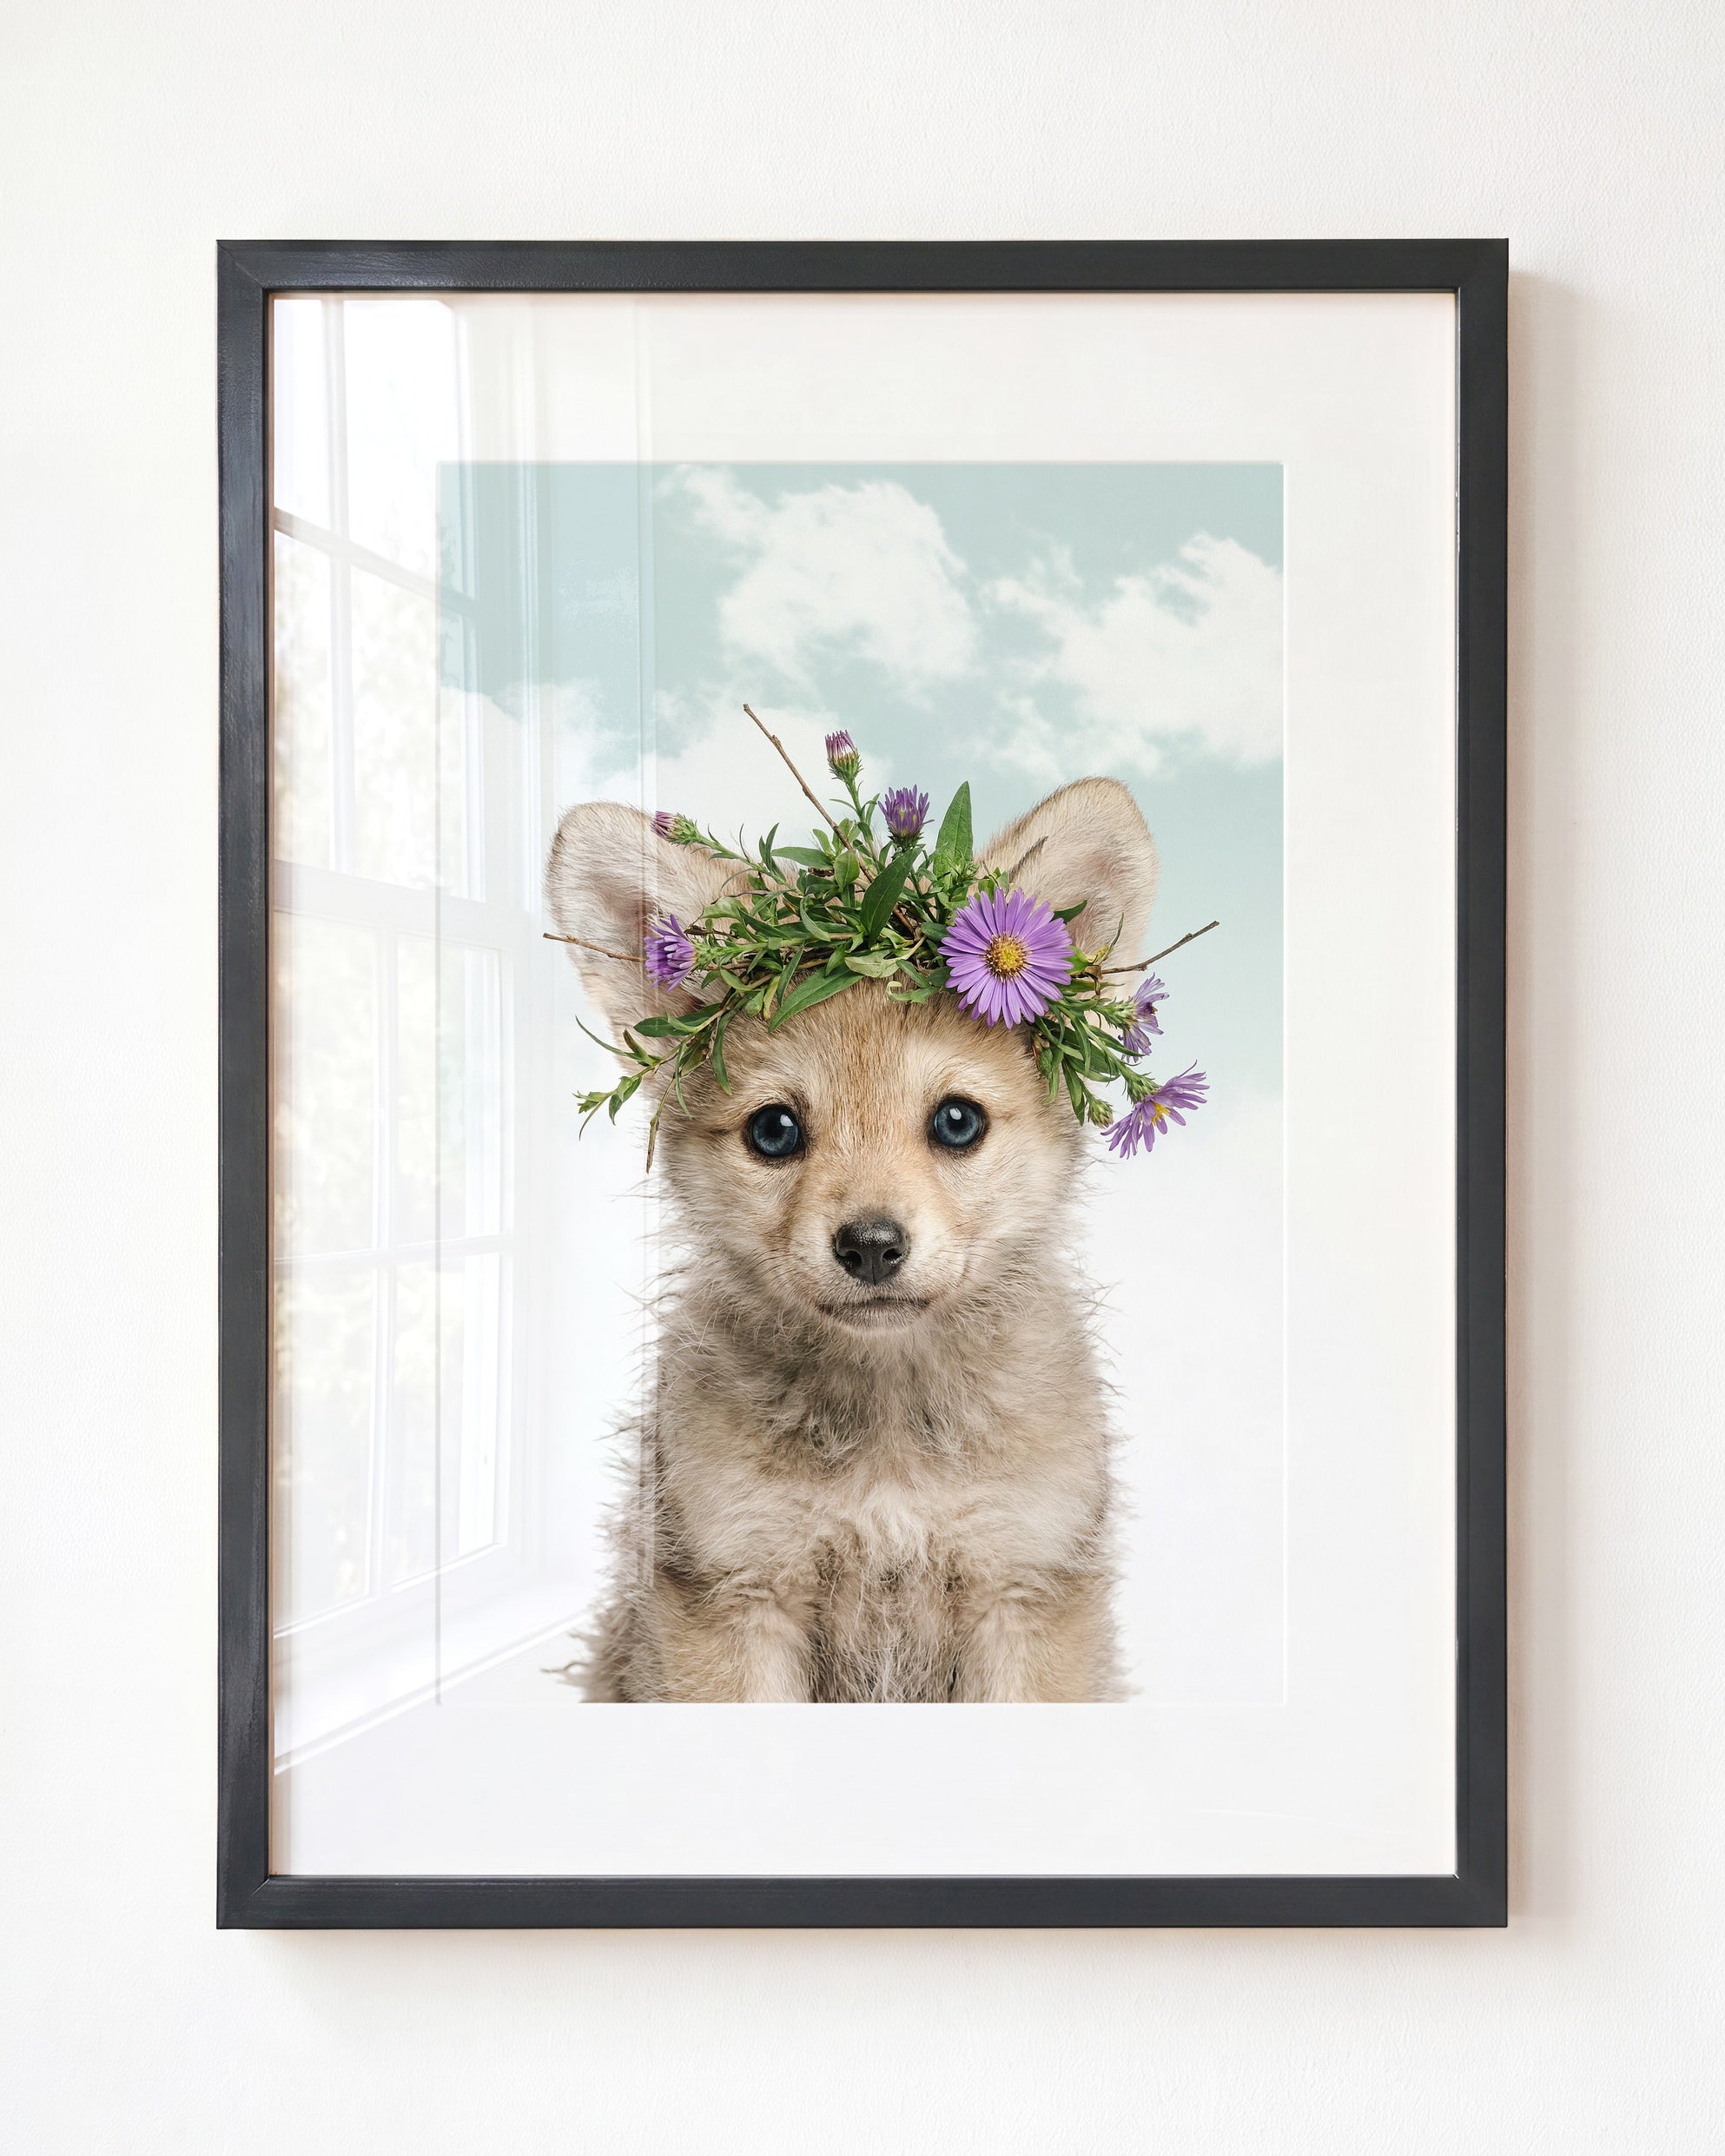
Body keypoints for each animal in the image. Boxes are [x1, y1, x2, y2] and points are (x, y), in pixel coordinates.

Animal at [545, 777, 1159, 1701]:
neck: (889, 1435)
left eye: (956, 1121)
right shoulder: (736, 1596)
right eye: (773, 1131)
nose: (871, 1246)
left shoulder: (1022, 1590)